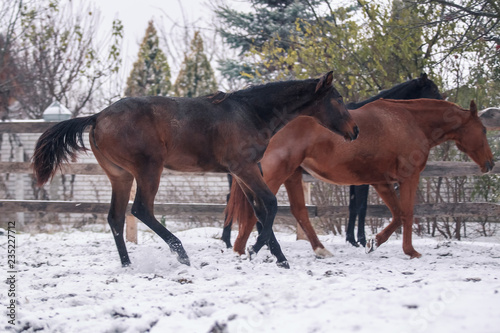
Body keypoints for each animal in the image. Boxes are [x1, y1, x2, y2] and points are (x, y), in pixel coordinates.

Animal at [32, 70, 360, 268]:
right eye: (338, 99)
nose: (355, 131)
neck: (251, 113)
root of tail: (98, 116)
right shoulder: (244, 167)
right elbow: (269, 204)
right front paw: (256, 250)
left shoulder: (243, 171)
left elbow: (258, 209)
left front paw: (278, 257)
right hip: (149, 168)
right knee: (141, 209)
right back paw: (181, 253)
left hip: (120, 176)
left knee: (115, 217)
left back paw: (127, 264)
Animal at [223, 72, 442, 249]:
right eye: (433, 89)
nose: (445, 102)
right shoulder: (365, 180)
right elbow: (361, 207)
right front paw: (360, 239)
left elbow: (353, 207)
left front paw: (352, 238)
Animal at [228, 98, 496, 260]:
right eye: (483, 130)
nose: (490, 164)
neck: (409, 122)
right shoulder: (408, 178)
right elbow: (407, 214)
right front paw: (410, 251)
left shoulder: (380, 182)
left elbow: (398, 214)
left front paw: (375, 242)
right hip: (276, 173)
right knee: (256, 211)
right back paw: (244, 250)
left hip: (291, 175)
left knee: (298, 212)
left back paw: (319, 250)